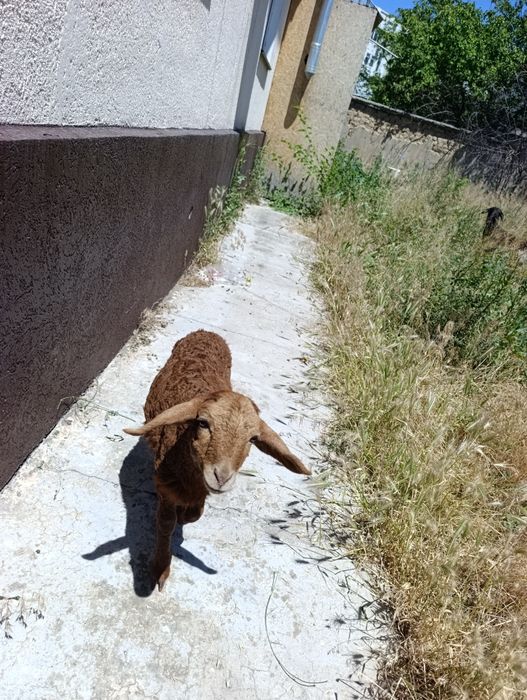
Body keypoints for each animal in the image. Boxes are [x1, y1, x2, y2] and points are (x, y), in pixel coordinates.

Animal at [123, 329, 310, 591]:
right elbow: (166, 523)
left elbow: (195, 513)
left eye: (253, 439)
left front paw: (187, 515)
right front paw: (160, 568)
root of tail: (206, 332)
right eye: (202, 423)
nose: (221, 477)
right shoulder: (166, 486)